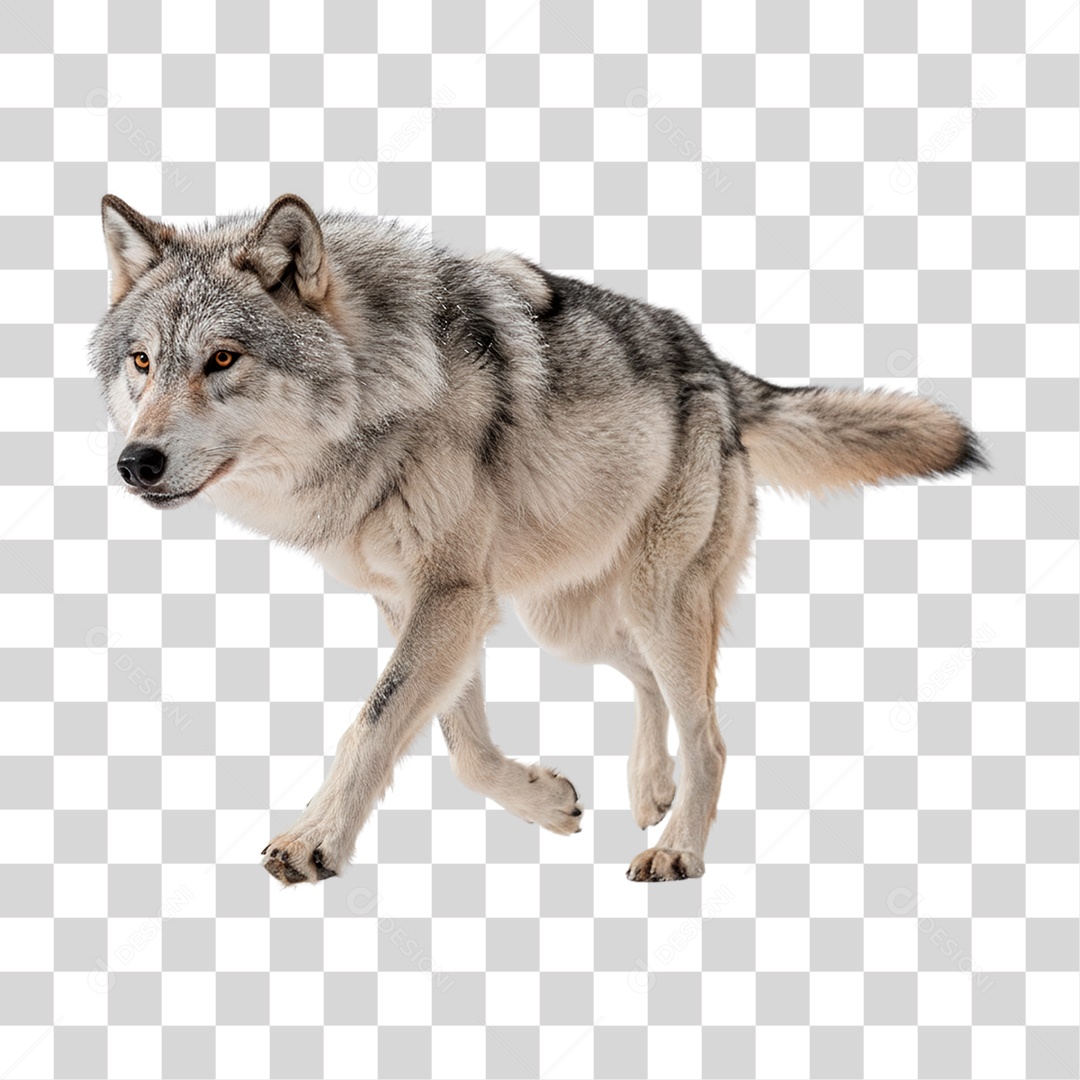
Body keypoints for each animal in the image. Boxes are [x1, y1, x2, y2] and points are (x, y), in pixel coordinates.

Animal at [90, 193, 986, 884]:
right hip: (568, 621)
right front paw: (547, 802)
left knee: (712, 735)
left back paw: (678, 850)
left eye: (222, 359)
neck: (383, 393)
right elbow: (458, 744)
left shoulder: (450, 598)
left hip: (656, 600)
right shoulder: (422, 604)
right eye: (142, 361)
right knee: (651, 684)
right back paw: (648, 787)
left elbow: (375, 724)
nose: (136, 462)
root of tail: (717, 366)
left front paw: (313, 842)